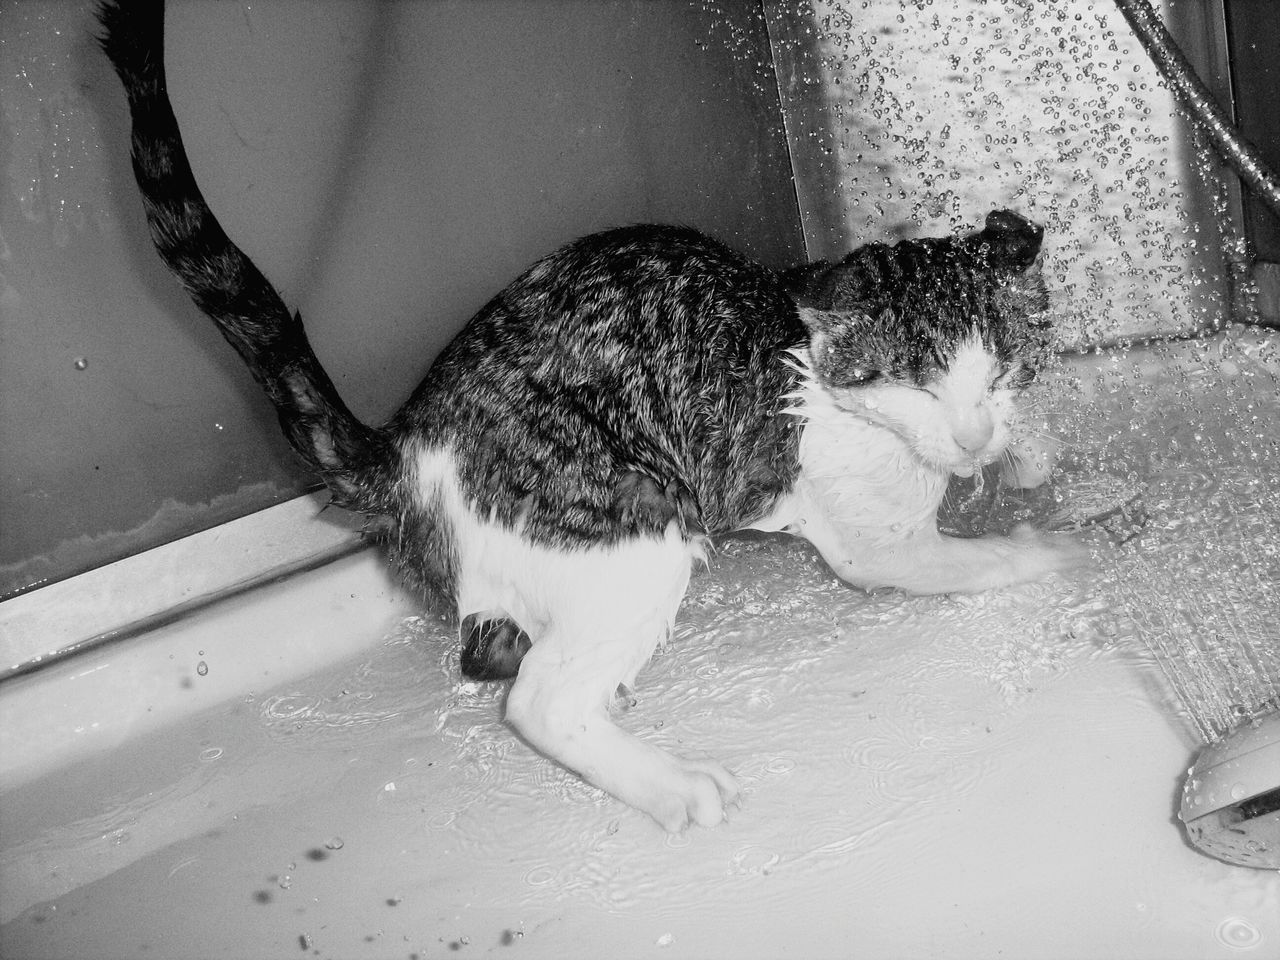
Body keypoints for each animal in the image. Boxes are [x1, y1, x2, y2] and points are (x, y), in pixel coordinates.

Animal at [99, 0, 1080, 834]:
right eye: (915, 385)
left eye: (1001, 372)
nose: (972, 436)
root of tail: (409, 441)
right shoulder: (871, 540)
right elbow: (957, 558)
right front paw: (1050, 547)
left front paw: (1029, 458)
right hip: (636, 524)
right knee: (537, 702)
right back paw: (672, 784)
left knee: (500, 657)